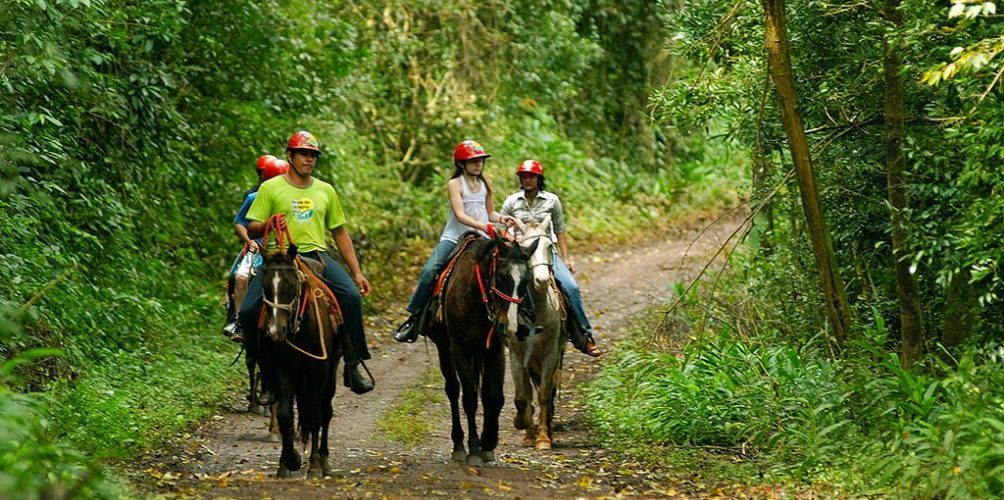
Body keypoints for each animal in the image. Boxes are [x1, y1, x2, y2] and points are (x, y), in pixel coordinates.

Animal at [255, 247, 341, 477]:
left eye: (291, 286)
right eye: (265, 286)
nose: (275, 331)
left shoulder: (318, 371)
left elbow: (315, 415)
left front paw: (314, 466)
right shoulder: (283, 369)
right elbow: (285, 415)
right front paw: (288, 462)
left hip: (330, 372)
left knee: (325, 411)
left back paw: (324, 460)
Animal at [427, 231, 538, 465]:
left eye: (526, 281)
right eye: (502, 277)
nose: (511, 325)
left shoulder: (494, 348)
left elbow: (493, 395)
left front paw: (488, 443)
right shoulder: (459, 349)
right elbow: (469, 398)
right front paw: (474, 450)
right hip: (444, 350)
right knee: (453, 390)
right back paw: (459, 446)